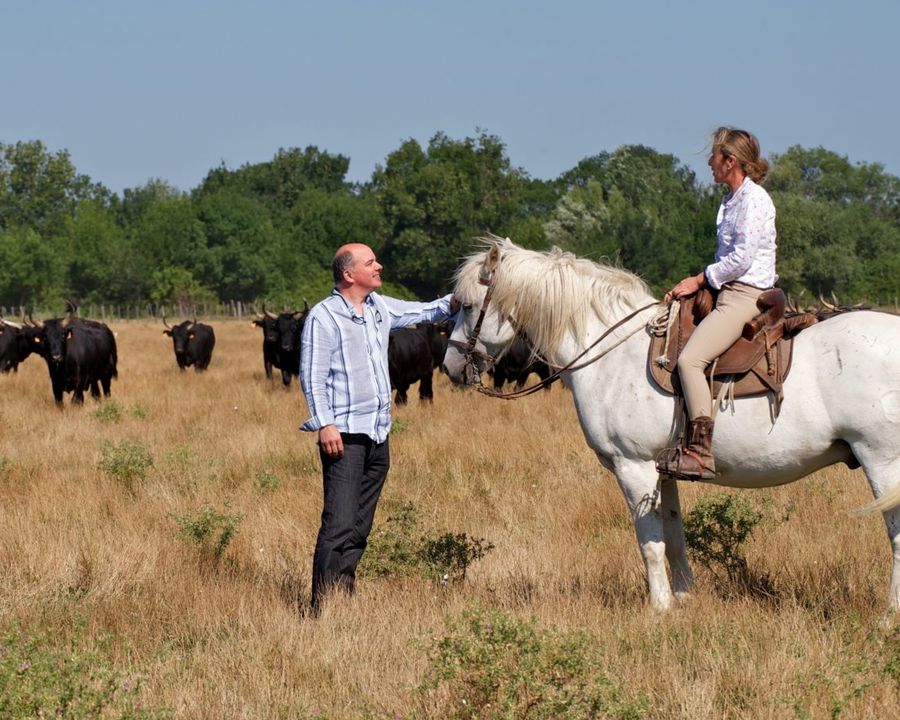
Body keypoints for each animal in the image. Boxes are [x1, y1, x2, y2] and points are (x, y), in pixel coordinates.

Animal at [444, 239, 900, 612]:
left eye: (466, 305)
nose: (450, 366)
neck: (613, 353)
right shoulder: (664, 469)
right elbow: (675, 533)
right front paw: (684, 597)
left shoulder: (633, 467)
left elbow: (649, 541)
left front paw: (660, 608)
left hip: (881, 462)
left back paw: (887, 617)